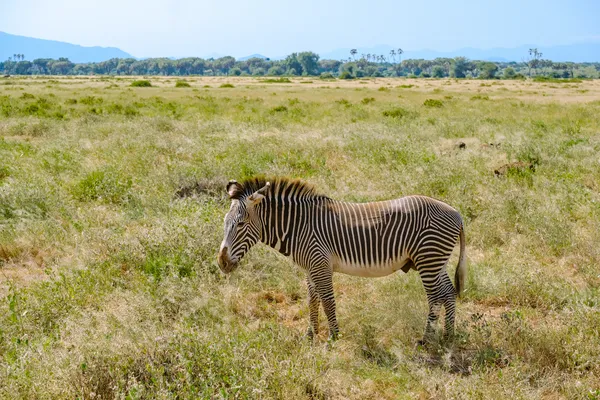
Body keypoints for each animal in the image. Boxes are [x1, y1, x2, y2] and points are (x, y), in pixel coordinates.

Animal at [218, 177, 466, 342]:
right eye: (225, 222)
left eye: (241, 224)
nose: (222, 263)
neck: (299, 227)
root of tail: (456, 213)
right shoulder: (310, 267)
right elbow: (313, 300)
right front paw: (311, 334)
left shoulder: (320, 263)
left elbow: (328, 300)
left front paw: (333, 337)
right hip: (436, 261)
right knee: (448, 292)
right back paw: (449, 335)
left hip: (428, 259)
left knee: (435, 297)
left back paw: (427, 338)